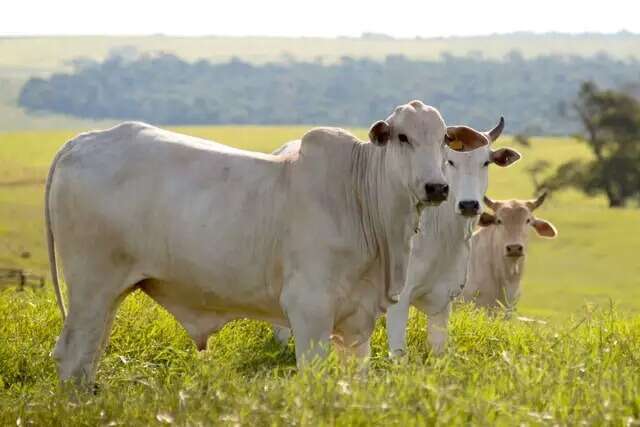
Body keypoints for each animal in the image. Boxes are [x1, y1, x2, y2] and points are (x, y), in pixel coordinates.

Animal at [46, 101, 450, 384]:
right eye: (403, 137)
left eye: (444, 140)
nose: (437, 187)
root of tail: (80, 141)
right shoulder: (309, 311)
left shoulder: (358, 322)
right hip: (90, 287)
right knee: (72, 357)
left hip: (108, 296)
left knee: (89, 357)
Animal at [384, 120, 520, 358]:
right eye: (450, 161)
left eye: (486, 162)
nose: (469, 204)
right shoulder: (398, 300)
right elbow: (399, 353)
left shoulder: (443, 300)